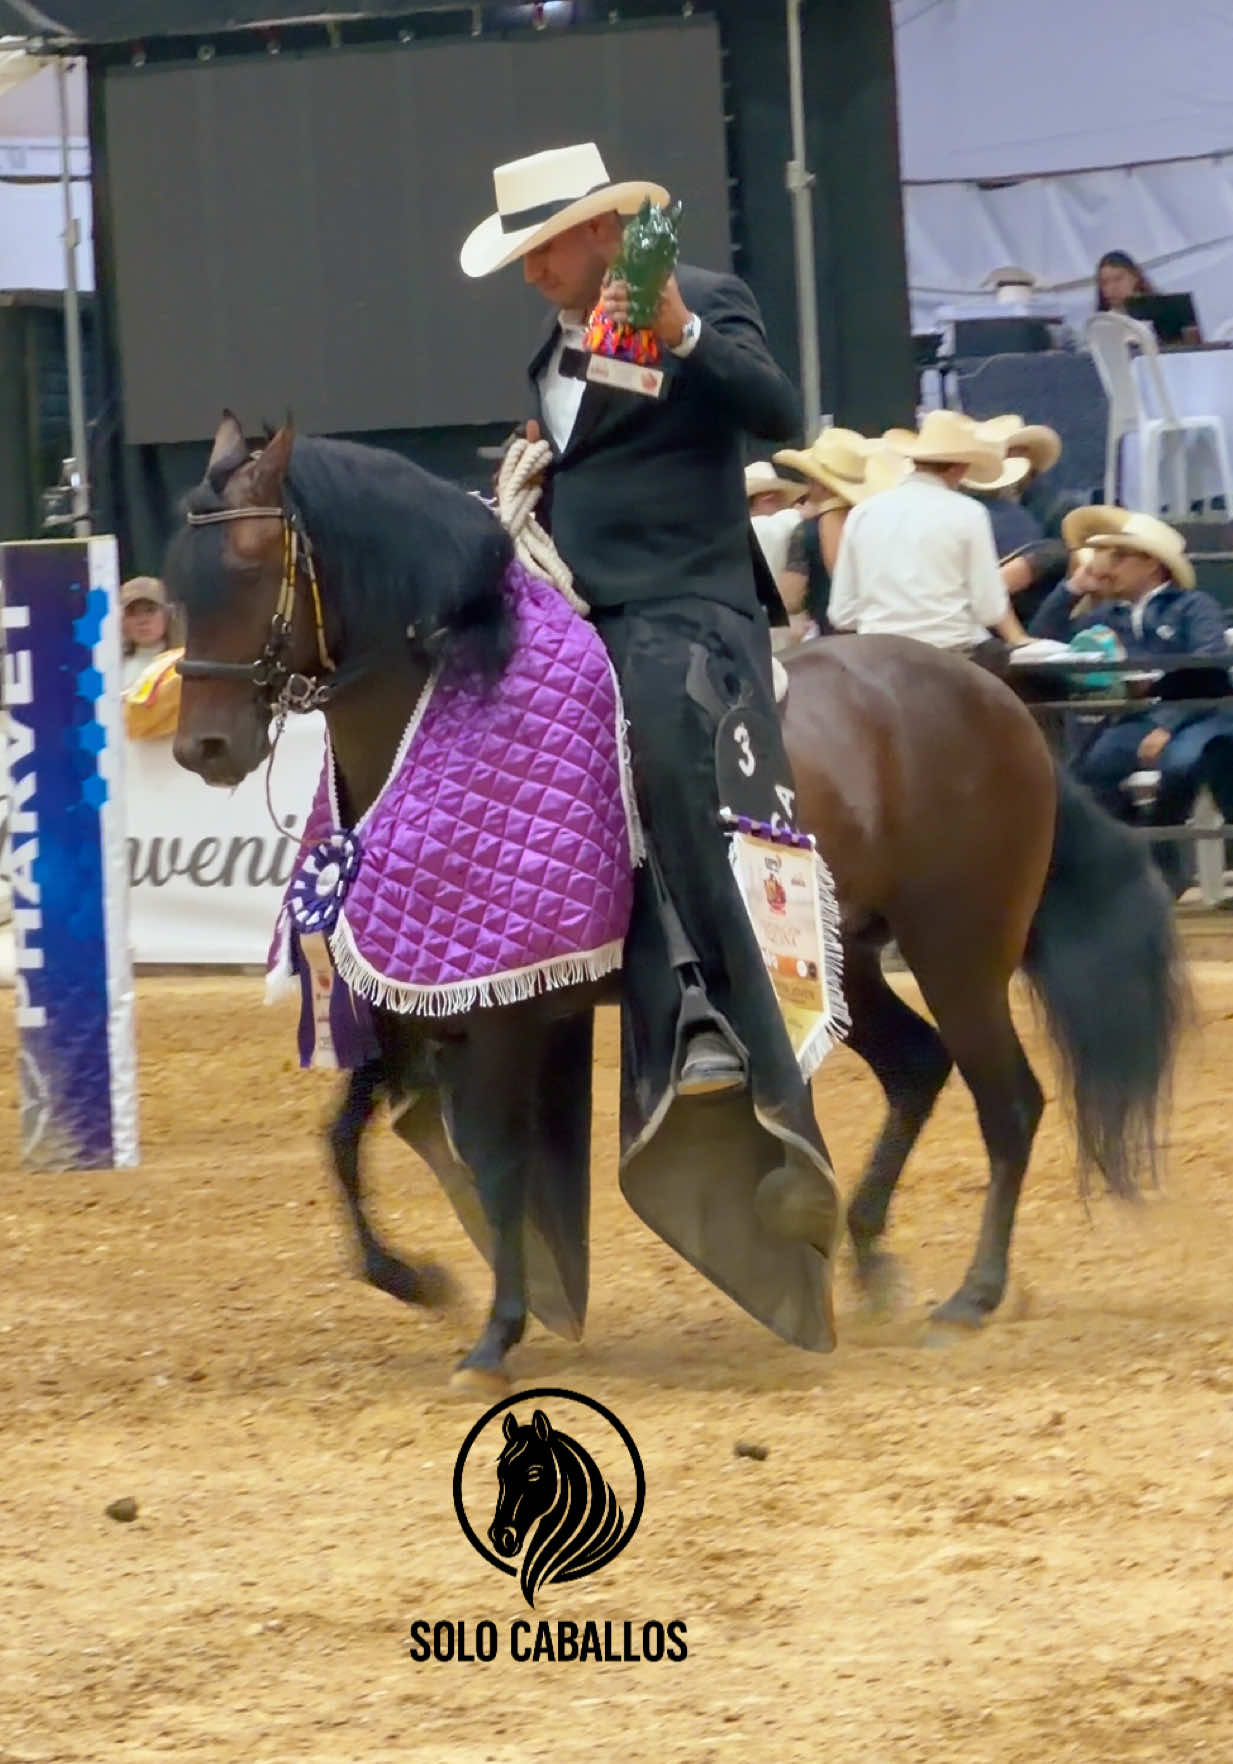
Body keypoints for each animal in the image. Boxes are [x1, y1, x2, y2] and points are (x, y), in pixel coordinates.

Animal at [166, 412, 1185, 1388]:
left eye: (252, 566)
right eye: (179, 586)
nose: (201, 749)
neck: (449, 700)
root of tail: (997, 700)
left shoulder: (505, 1006)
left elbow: (495, 1164)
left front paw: (495, 1334)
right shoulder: (415, 985)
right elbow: (340, 1139)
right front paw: (418, 1280)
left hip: (958, 950)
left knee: (1006, 1103)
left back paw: (969, 1298)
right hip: (844, 956)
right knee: (918, 1070)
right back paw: (865, 1259)